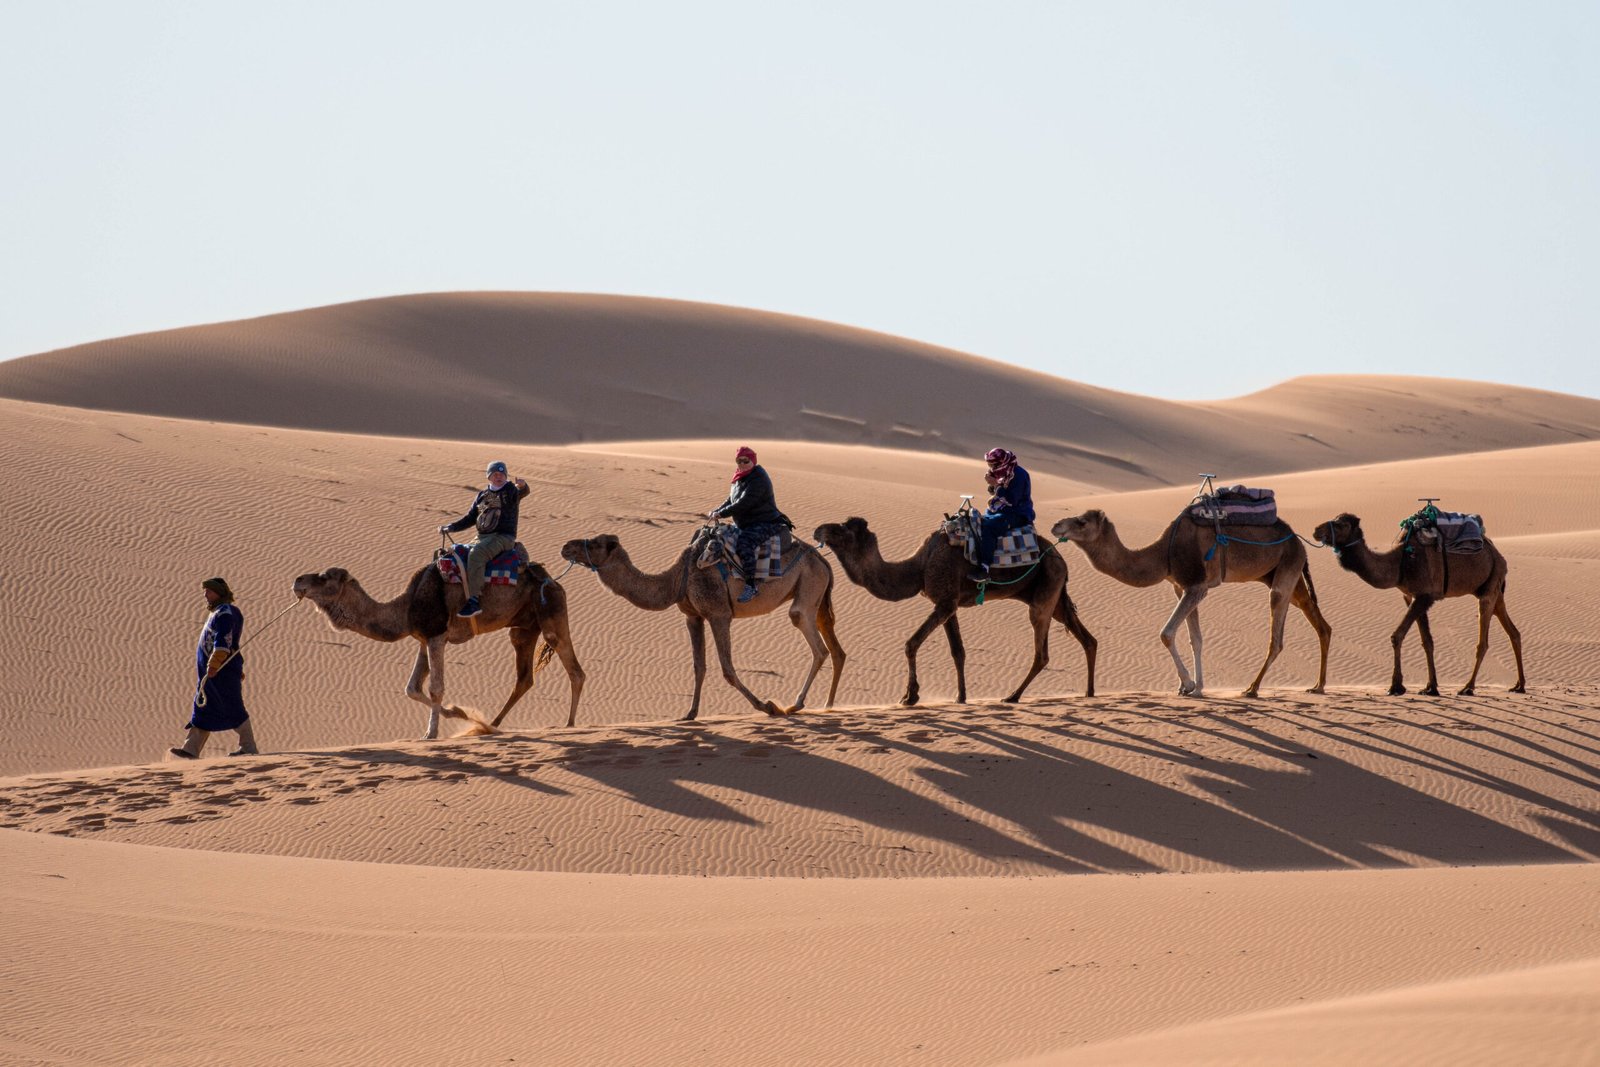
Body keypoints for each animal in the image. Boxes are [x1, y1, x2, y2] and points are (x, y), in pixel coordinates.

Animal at [291, 558, 585, 739]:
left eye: (324, 577)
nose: (297, 581)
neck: (405, 608)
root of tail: (555, 581)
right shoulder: (424, 639)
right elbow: (411, 688)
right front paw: (459, 713)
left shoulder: (437, 636)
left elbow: (435, 688)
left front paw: (431, 733)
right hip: (524, 628)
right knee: (524, 678)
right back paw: (492, 725)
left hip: (551, 611)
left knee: (574, 669)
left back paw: (570, 724)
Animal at [558, 527, 844, 719]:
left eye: (596, 543)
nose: (566, 547)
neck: (677, 579)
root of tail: (823, 560)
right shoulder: (693, 617)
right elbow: (699, 666)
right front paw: (690, 713)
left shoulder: (719, 614)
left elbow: (727, 669)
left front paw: (767, 706)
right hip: (816, 593)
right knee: (835, 649)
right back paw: (828, 705)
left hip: (808, 585)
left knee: (815, 643)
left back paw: (796, 705)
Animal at [812, 517, 1096, 705]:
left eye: (843, 529)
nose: (819, 529)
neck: (920, 565)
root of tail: (1062, 561)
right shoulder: (949, 604)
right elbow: (958, 652)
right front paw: (960, 697)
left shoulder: (945, 602)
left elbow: (911, 643)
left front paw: (910, 696)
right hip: (1055, 597)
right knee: (1088, 640)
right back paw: (1090, 692)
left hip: (1044, 595)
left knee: (1042, 653)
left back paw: (1013, 696)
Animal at [1051, 509, 1330, 698]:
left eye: (1082, 521)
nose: (1055, 525)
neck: (1163, 553)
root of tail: (1298, 541)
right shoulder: (1181, 587)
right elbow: (1195, 639)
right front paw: (1196, 688)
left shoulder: (1197, 586)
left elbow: (1166, 633)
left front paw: (1188, 684)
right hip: (1285, 575)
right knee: (1319, 623)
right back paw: (1318, 686)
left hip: (1285, 572)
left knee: (1277, 636)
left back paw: (1252, 688)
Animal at [1312, 513, 1525, 696]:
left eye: (1341, 524)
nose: (1316, 530)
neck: (1401, 561)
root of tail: (1498, 555)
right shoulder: (1412, 596)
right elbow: (1427, 641)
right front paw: (1431, 687)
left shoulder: (1424, 596)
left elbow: (1397, 636)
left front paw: (1396, 686)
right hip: (1494, 590)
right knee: (1513, 632)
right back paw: (1519, 685)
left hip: (1489, 590)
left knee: (1483, 641)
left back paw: (1468, 687)